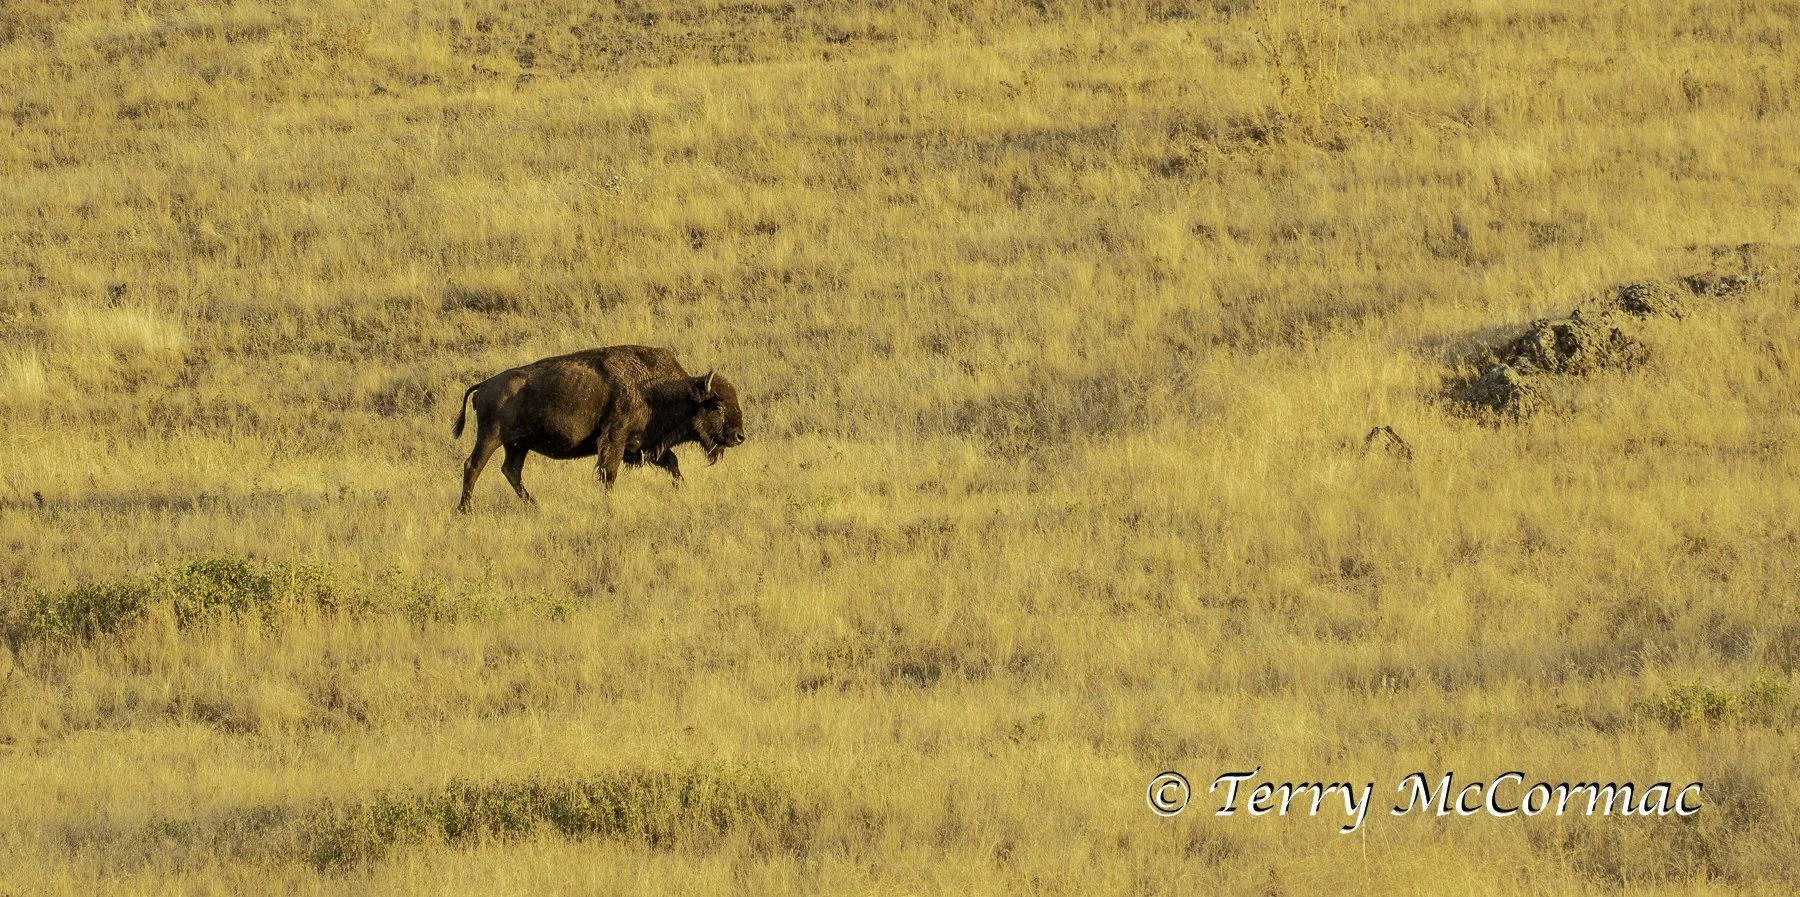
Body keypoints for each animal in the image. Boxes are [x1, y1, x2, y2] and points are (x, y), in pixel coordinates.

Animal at [452, 346, 744, 511]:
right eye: (717, 405)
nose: (739, 436)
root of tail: (484, 385)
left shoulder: (644, 445)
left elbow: (672, 463)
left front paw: (679, 488)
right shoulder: (614, 439)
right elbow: (609, 473)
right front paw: (608, 504)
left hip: (517, 445)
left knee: (511, 471)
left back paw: (533, 505)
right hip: (491, 437)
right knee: (473, 466)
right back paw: (464, 510)